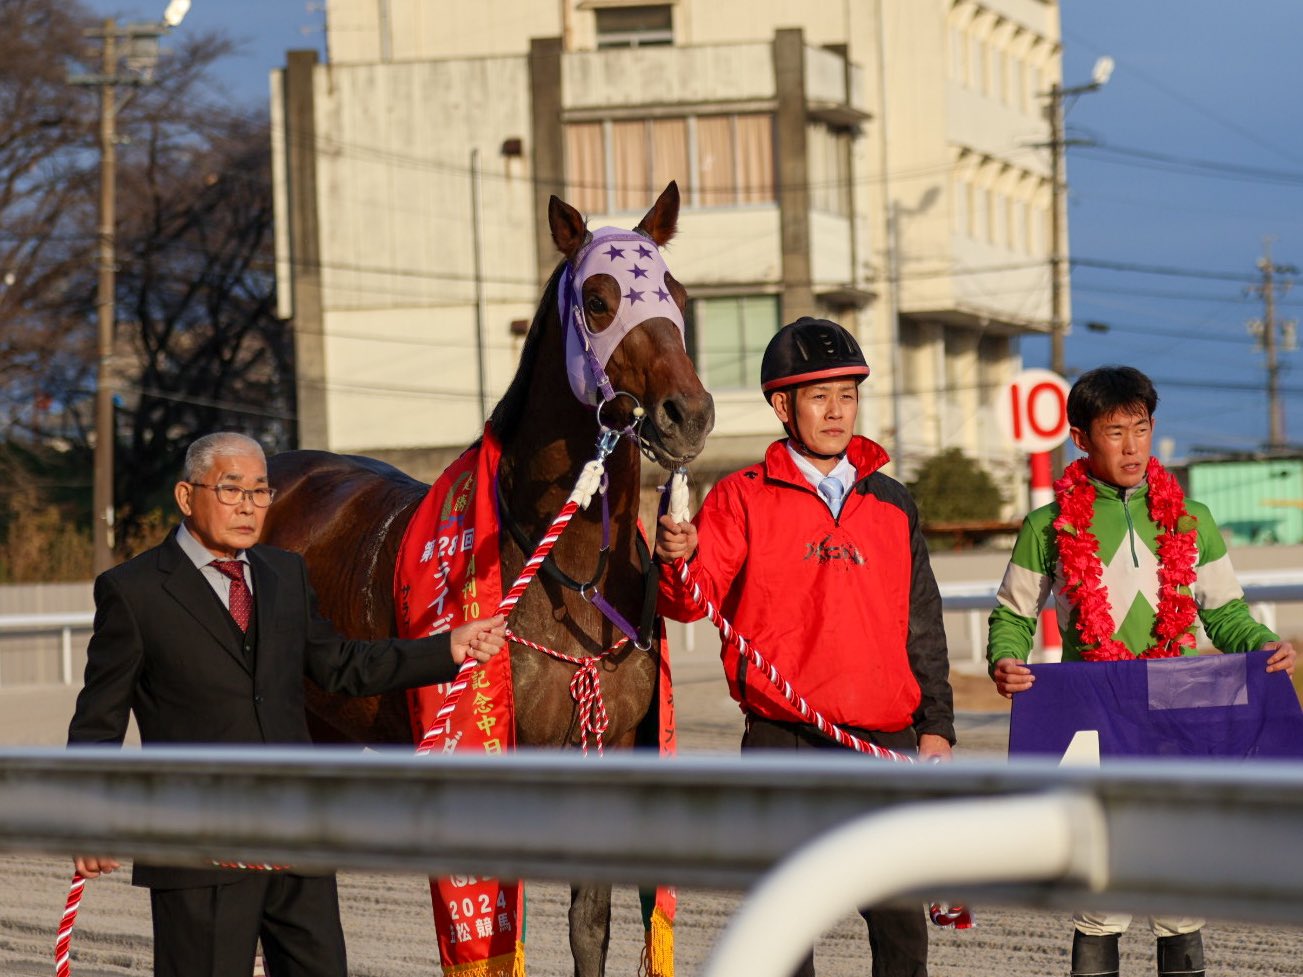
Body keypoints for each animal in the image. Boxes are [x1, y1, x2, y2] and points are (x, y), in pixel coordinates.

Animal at [259, 183, 719, 977]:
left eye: (679, 296)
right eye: (599, 300)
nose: (686, 414)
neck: (564, 571)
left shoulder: (607, 744)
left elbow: (589, 924)